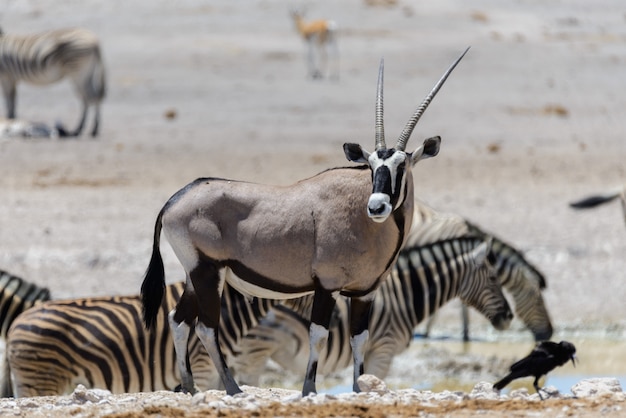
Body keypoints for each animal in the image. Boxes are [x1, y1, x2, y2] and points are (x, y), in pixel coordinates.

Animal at [139, 48, 466, 396]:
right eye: (371, 165)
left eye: (401, 166)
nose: (377, 206)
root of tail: (175, 199)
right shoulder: (327, 286)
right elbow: (318, 335)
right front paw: (309, 389)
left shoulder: (364, 293)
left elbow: (359, 339)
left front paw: (359, 387)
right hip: (207, 272)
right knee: (205, 326)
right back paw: (232, 387)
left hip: (195, 275)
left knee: (179, 320)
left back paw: (189, 386)